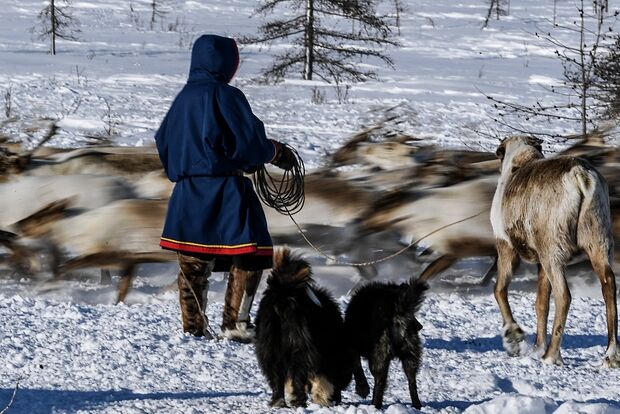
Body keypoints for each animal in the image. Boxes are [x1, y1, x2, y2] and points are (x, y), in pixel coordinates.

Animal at [254, 249, 354, 408]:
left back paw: (279, 401)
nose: (336, 400)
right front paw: (322, 398)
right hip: (299, 348)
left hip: (269, 348)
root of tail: (283, 295)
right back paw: (299, 401)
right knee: (297, 377)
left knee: (276, 377)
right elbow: (321, 378)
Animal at [344, 276, 426, 410]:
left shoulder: (353, 346)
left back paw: (374, 406)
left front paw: (362, 389)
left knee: (380, 383)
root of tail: (397, 309)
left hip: (380, 354)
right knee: (412, 382)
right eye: (413, 313)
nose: (420, 327)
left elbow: (357, 367)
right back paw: (417, 406)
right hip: (410, 355)